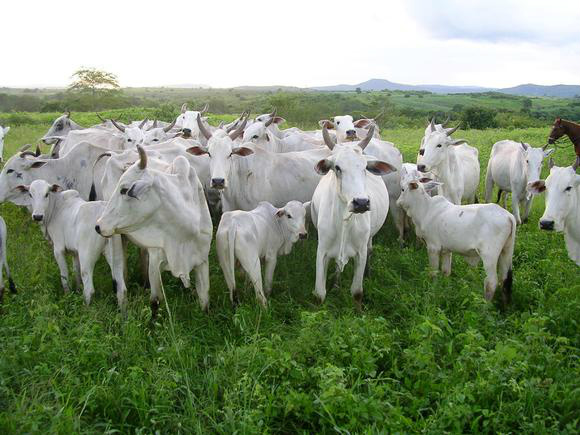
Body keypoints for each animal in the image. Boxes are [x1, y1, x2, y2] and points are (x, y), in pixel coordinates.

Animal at [17, 179, 127, 308]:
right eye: (30, 194)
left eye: (46, 194)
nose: (37, 216)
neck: (56, 208)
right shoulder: (75, 252)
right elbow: (76, 271)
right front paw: (77, 289)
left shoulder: (58, 249)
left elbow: (64, 276)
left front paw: (67, 295)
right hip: (116, 256)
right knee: (121, 289)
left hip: (87, 256)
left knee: (89, 289)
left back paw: (85, 309)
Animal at [95, 147, 213, 316]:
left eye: (124, 190)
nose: (97, 226)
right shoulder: (156, 263)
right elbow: (155, 301)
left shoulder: (202, 260)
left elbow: (205, 302)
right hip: (113, 235)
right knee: (119, 278)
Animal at [308, 126, 394, 308]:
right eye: (337, 167)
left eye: (364, 168)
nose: (361, 203)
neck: (344, 221)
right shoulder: (322, 251)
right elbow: (319, 294)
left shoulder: (360, 253)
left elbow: (357, 292)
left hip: (369, 239)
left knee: (370, 250)